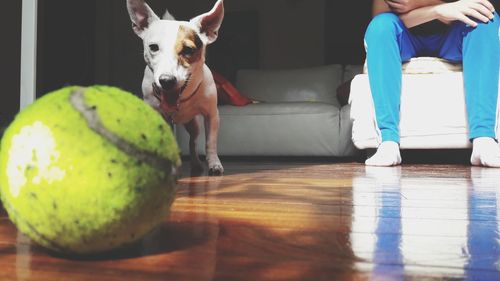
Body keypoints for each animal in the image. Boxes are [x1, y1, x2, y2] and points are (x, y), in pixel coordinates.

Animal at [127, 0, 225, 175]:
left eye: (188, 50)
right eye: (153, 47)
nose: (167, 80)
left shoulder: (212, 115)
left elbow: (210, 142)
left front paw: (214, 163)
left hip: (194, 125)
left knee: (193, 142)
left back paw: (196, 164)